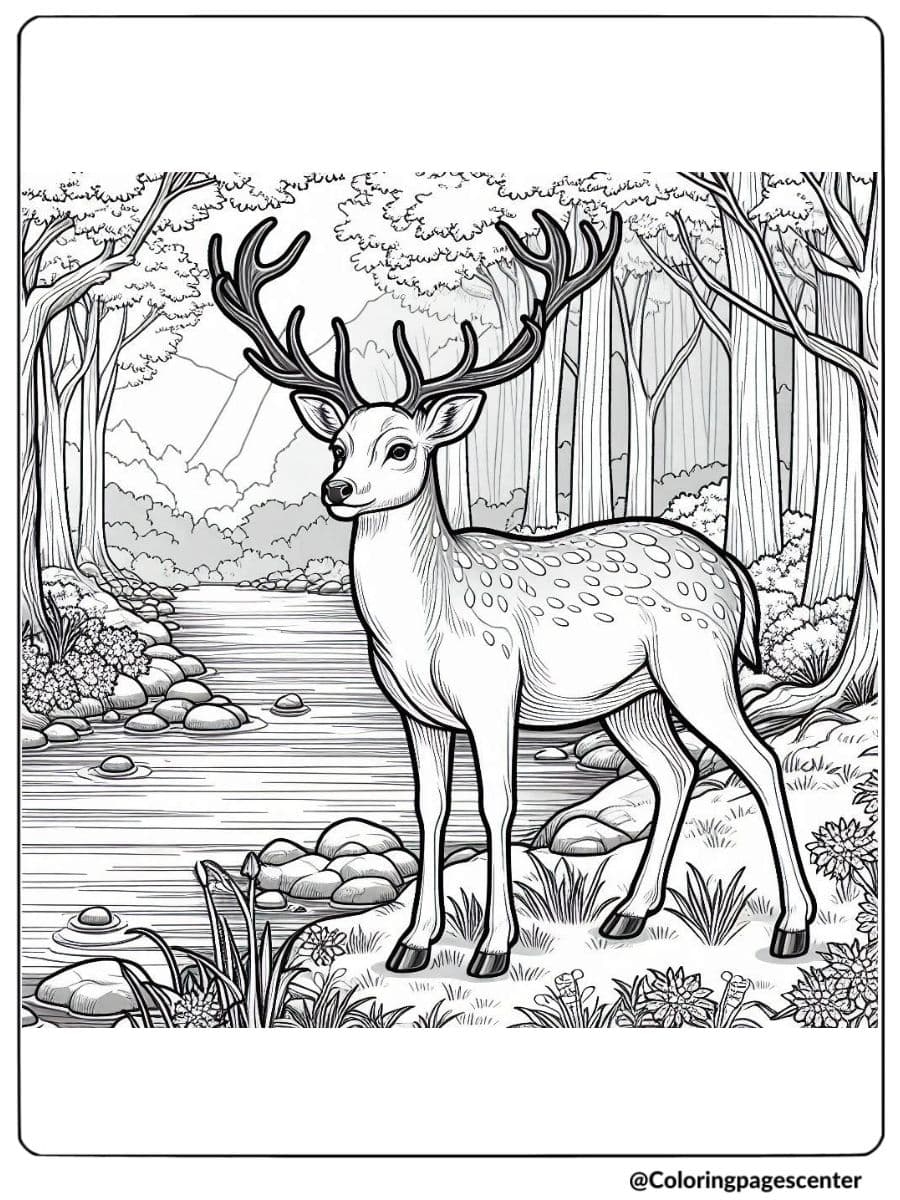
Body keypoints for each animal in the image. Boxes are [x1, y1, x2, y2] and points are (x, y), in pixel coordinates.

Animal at [208, 210, 816, 980]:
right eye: (338, 444)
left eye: (402, 447)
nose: (337, 489)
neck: (422, 626)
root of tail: (734, 572)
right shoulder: (416, 712)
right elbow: (429, 808)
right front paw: (414, 943)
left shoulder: (493, 690)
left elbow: (497, 803)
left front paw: (493, 948)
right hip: (632, 698)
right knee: (675, 770)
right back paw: (629, 912)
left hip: (697, 664)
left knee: (759, 760)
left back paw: (792, 925)